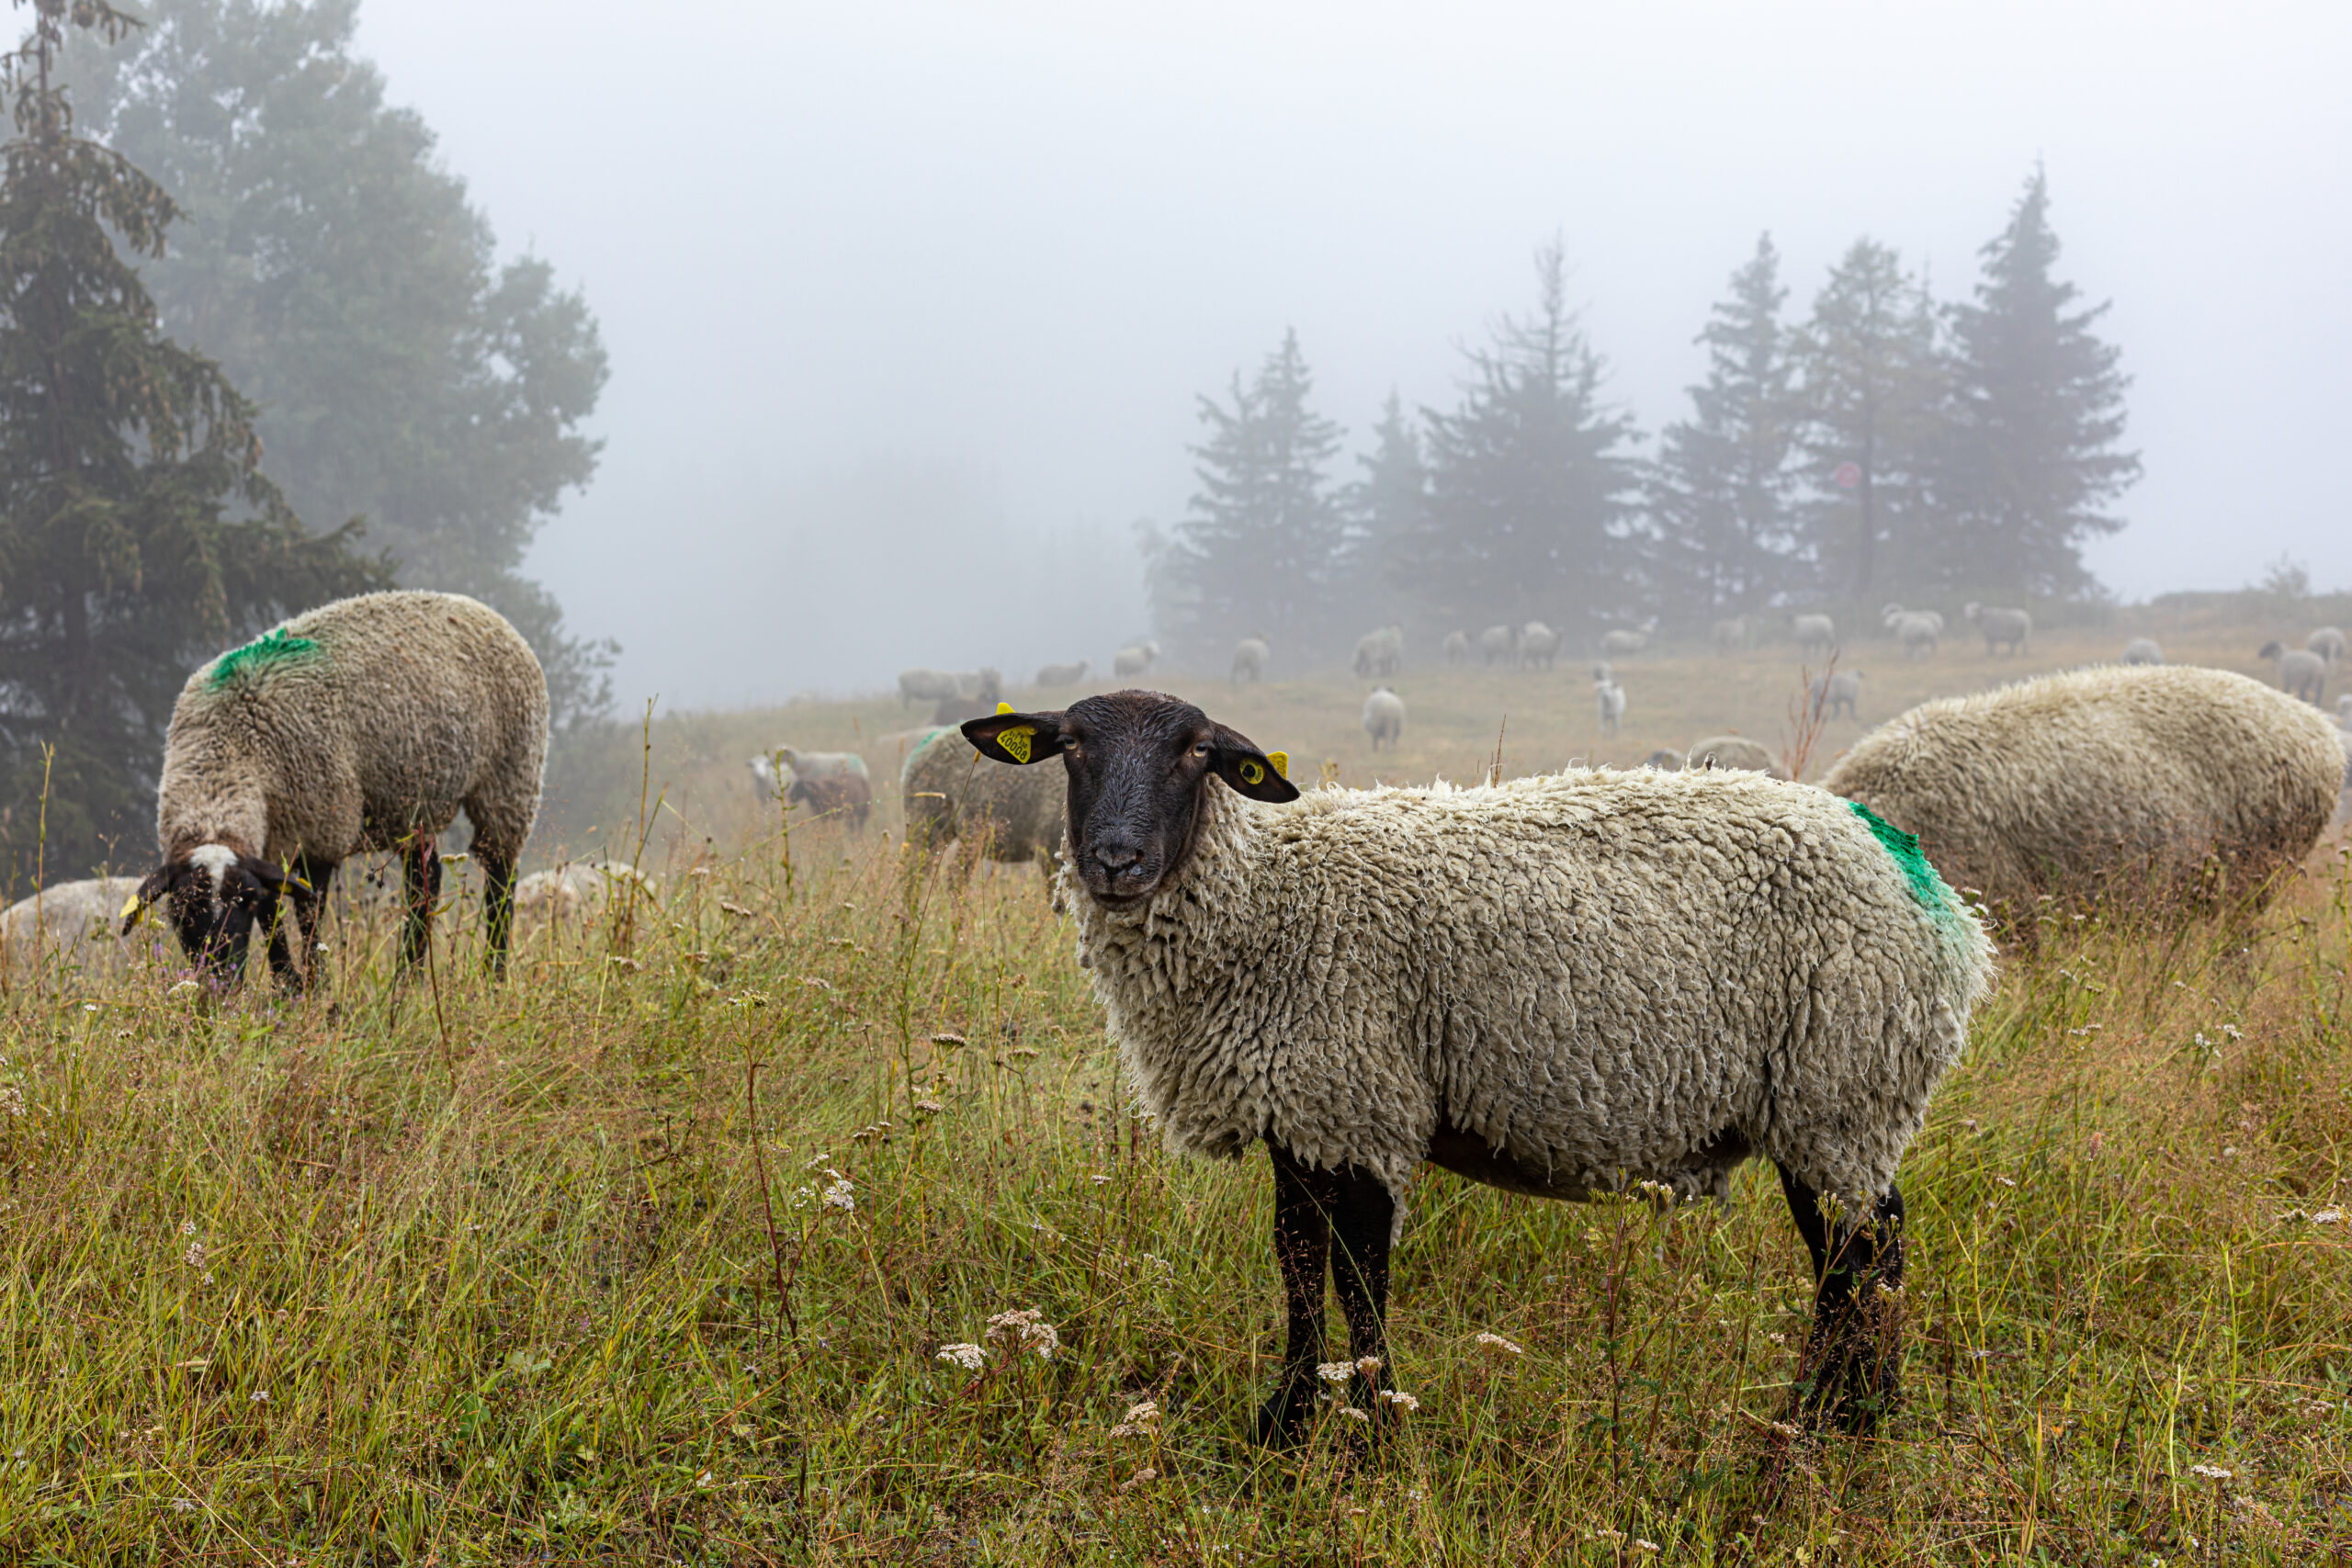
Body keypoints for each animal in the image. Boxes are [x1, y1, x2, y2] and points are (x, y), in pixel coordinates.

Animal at [130, 594, 550, 987]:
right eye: (181, 912)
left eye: (241, 903)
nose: (220, 981)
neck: (233, 751)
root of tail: (477, 607)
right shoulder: (272, 843)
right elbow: (273, 916)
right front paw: (288, 986)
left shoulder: (321, 829)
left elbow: (308, 914)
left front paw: (316, 988)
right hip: (410, 801)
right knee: (424, 879)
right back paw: (408, 979)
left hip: (509, 781)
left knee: (500, 880)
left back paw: (492, 975)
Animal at [964, 691, 1994, 1438]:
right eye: (1070, 747)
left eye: (1195, 753)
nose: (1116, 861)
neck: (1265, 899)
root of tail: (1930, 889)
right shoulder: (1301, 1110)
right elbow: (1296, 1263)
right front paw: (1287, 1422)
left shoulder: (1359, 1099)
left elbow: (1358, 1275)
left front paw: (1372, 1425)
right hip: (1823, 1107)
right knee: (1847, 1263)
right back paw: (1836, 1414)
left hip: (1842, 1089)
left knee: (1870, 1254)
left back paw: (1839, 1419)